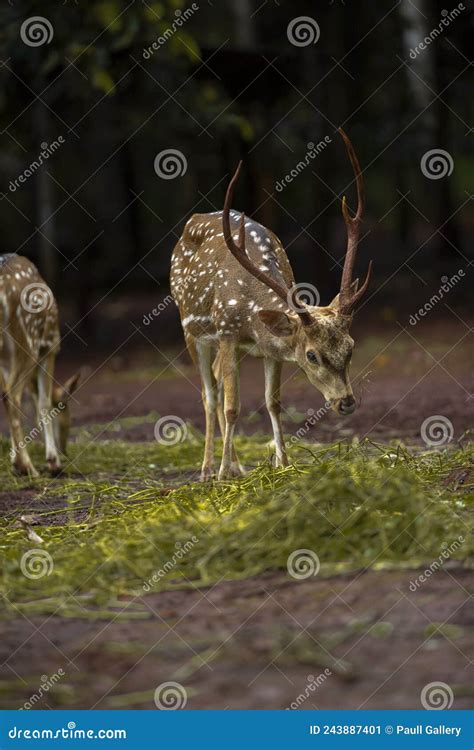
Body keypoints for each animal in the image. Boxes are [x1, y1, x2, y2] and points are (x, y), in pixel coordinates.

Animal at [0, 253, 80, 476]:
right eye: (66, 409)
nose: (65, 450)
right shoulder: (51, 347)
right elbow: (42, 403)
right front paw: (53, 461)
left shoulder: (5, 360)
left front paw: (13, 458)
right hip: (29, 340)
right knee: (12, 396)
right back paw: (27, 466)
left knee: (8, 394)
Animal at [169, 128, 370, 482]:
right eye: (311, 355)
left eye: (351, 346)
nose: (346, 402)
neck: (251, 315)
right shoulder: (227, 333)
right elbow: (232, 407)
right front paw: (222, 474)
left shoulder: (270, 350)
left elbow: (273, 402)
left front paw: (283, 462)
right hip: (191, 329)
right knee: (209, 393)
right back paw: (209, 468)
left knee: (217, 381)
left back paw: (237, 464)